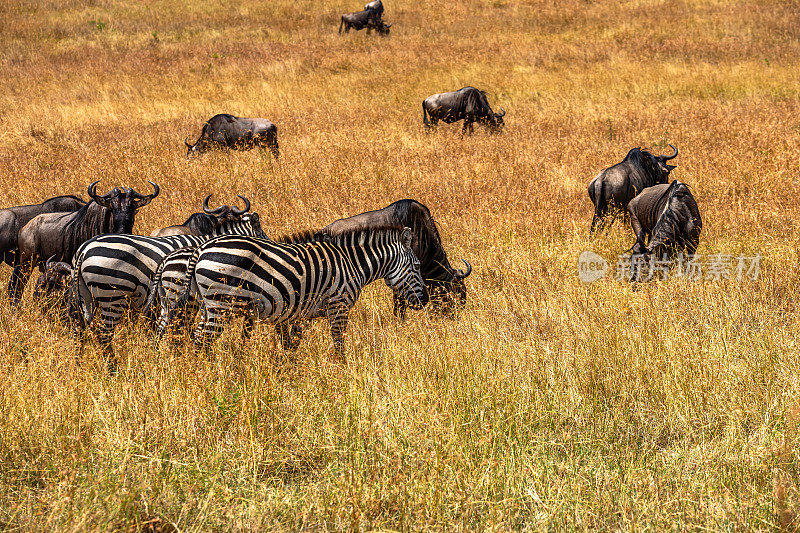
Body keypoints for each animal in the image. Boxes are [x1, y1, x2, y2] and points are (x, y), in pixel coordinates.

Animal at [168, 222, 428, 360]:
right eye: (416, 266)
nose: (424, 301)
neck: (351, 263)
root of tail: (202, 248)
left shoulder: (299, 312)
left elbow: (292, 344)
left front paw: (288, 371)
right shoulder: (338, 304)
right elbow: (339, 342)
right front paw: (341, 370)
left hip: (207, 304)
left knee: (198, 337)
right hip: (221, 304)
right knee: (203, 341)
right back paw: (207, 377)